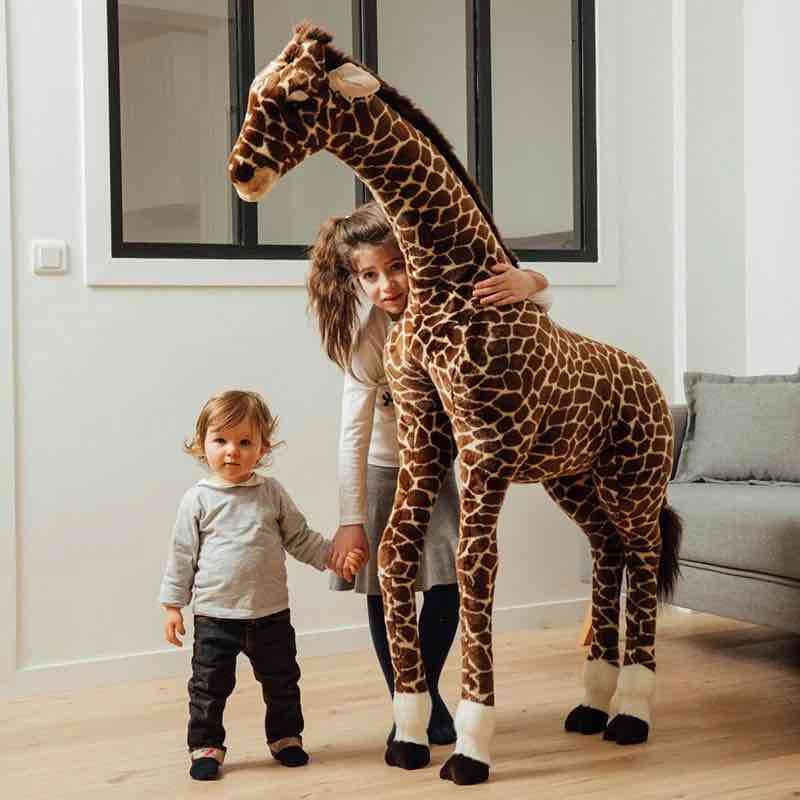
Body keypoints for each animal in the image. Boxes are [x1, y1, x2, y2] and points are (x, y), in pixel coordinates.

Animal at [227, 23, 682, 786]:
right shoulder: (425, 430)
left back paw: (633, 715)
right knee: (608, 548)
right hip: (574, 480)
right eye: (257, 87)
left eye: (294, 96)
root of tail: (649, 379)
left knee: (643, 557)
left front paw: (471, 748)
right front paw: (410, 735)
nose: (240, 173)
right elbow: (394, 556)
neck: (445, 279)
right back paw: (591, 704)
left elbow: (474, 570)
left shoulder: (484, 445)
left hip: (636, 482)